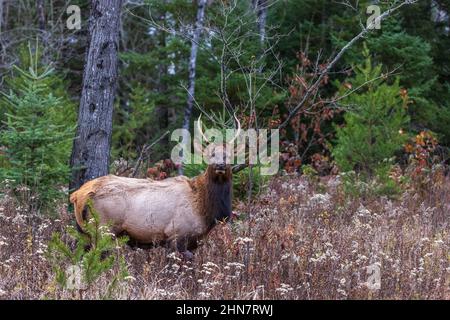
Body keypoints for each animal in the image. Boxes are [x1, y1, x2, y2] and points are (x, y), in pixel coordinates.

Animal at [70, 115, 241, 255]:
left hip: (84, 232)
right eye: (211, 154)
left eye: (229, 155)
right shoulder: (177, 234)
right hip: (103, 228)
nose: (220, 165)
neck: (205, 208)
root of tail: (78, 195)